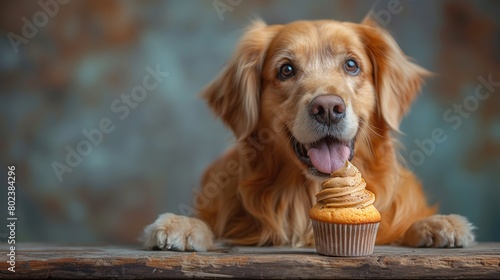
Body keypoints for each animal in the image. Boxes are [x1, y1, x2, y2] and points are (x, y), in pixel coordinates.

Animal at [142, 16, 476, 250]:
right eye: (286, 70)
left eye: (351, 64)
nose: (327, 108)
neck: (305, 196)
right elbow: (209, 224)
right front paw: (183, 225)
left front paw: (437, 224)